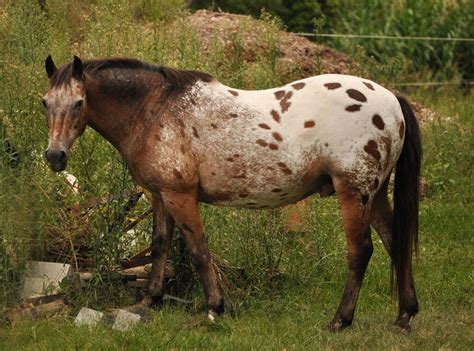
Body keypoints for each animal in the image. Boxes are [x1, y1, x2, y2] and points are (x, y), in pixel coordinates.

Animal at [43, 56, 422, 332]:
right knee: (395, 243)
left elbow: (198, 251)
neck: (155, 109)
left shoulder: (180, 196)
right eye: (45, 102)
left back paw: (340, 320)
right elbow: (159, 245)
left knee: (361, 252)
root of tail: (391, 99)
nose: (54, 156)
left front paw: (215, 308)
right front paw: (149, 301)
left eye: (79, 103)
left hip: (354, 192)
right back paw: (404, 315)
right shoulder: (159, 195)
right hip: (375, 195)